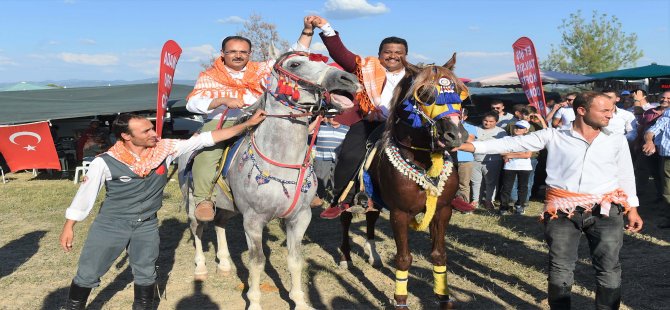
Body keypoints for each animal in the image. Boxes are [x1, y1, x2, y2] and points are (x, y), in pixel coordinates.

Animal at [178, 51, 356, 310]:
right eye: (295, 64)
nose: (348, 79)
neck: (282, 161)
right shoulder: (253, 221)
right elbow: (257, 262)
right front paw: (254, 302)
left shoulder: (300, 218)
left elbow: (295, 259)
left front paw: (299, 301)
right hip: (192, 202)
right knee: (198, 229)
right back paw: (201, 267)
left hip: (227, 206)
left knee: (220, 223)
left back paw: (224, 263)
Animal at [364, 54, 470, 308]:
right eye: (425, 94)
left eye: (458, 93)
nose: (456, 134)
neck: (422, 162)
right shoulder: (399, 213)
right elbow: (403, 258)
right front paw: (400, 300)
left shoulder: (442, 210)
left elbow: (439, 255)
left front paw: (443, 297)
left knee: (371, 217)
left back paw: (372, 253)